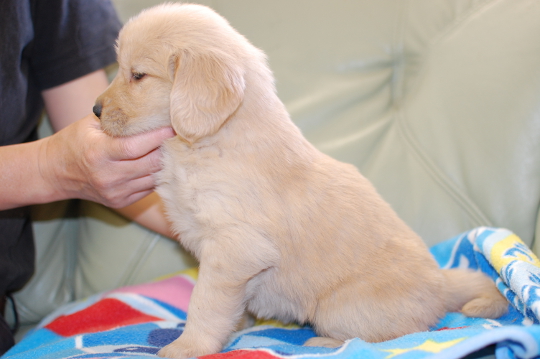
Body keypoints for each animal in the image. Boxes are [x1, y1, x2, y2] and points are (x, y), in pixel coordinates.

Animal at [92, 3, 506, 359]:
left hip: (340, 308)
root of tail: (443, 282)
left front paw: (188, 345)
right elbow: (230, 306)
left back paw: (326, 342)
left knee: (395, 333)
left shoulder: (233, 249)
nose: (94, 110)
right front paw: (234, 327)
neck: (214, 141)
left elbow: (206, 303)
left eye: (138, 75)